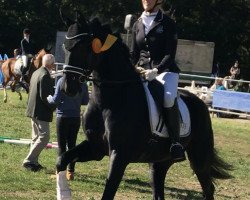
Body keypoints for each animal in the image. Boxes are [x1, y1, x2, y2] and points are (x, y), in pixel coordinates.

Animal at [56, 14, 232, 200]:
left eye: (83, 47)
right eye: (65, 47)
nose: (68, 87)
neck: (109, 100)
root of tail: (200, 103)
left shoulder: (119, 155)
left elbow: (109, 190)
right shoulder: (96, 148)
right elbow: (61, 160)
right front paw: (63, 191)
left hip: (199, 158)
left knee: (208, 188)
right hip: (159, 162)